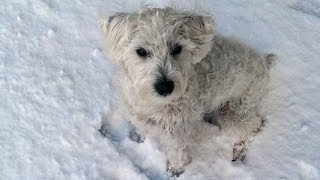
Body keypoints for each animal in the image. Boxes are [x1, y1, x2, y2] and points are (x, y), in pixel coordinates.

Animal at [99, 7, 274, 176]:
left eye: (177, 48)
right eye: (141, 51)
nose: (165, 87)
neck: (153, 103)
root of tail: (264, 62)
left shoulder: (178, 133)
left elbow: (179, 156)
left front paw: (174, 171)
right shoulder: (138, 114)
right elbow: (141, 128)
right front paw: (138, 137)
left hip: (234, 113)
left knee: (253, 127)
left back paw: (238, 151)